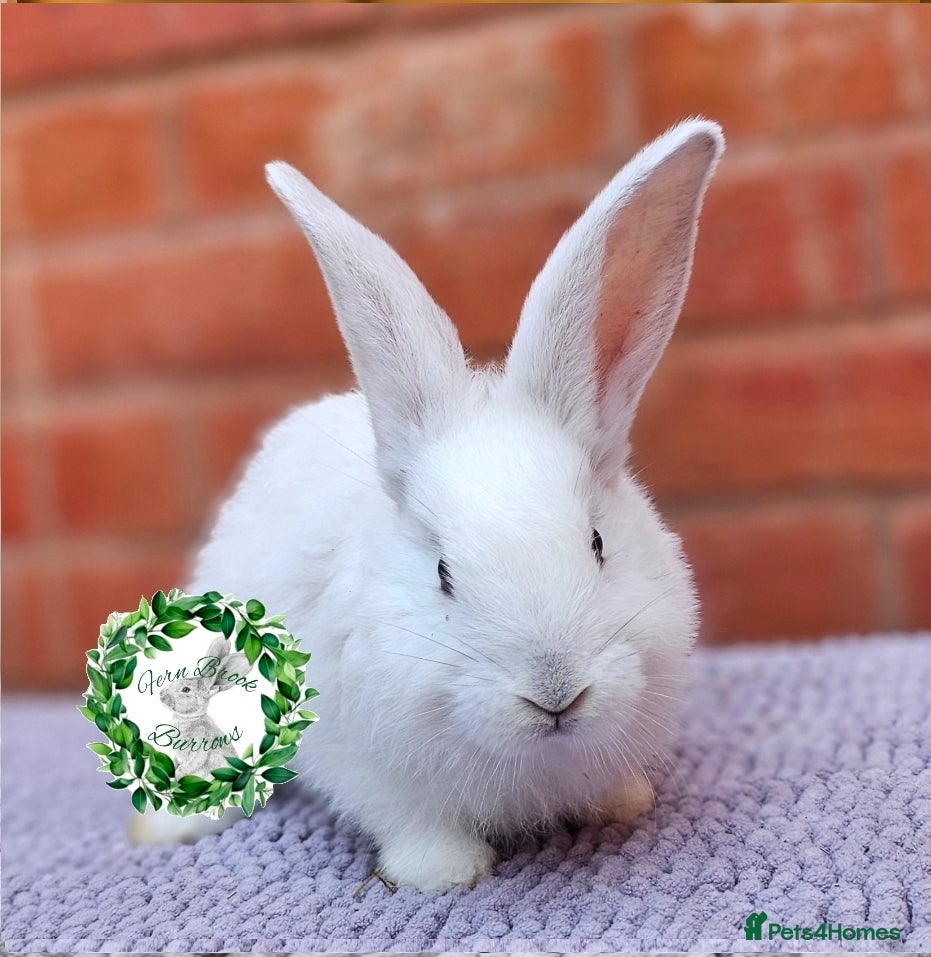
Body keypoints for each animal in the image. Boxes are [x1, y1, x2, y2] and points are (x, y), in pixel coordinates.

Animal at [130, 118, 724, 891]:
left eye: (597, 543)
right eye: (442, 573)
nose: (555, 693)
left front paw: (624, 804)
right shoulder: (371, 766)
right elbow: (416, 825)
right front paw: (443, 873)